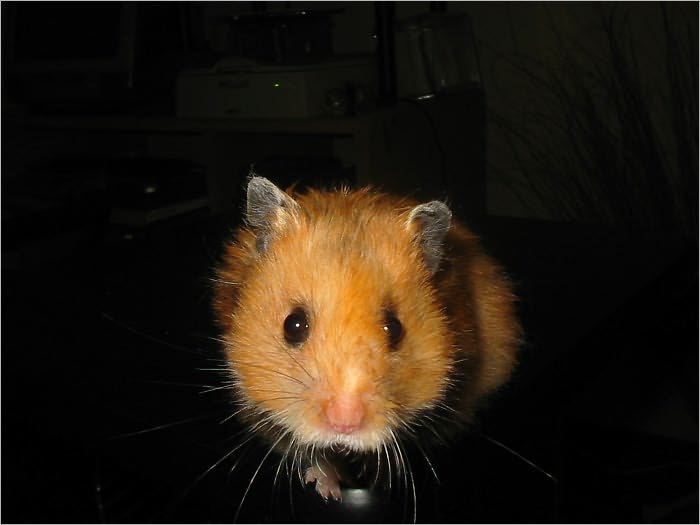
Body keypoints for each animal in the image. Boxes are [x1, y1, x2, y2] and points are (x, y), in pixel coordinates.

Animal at [212, 176, 521, 501]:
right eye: (293, 325)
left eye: (395, 328)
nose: (344, 424)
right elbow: (310, 451)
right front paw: (330, 490)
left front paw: (373, 475)